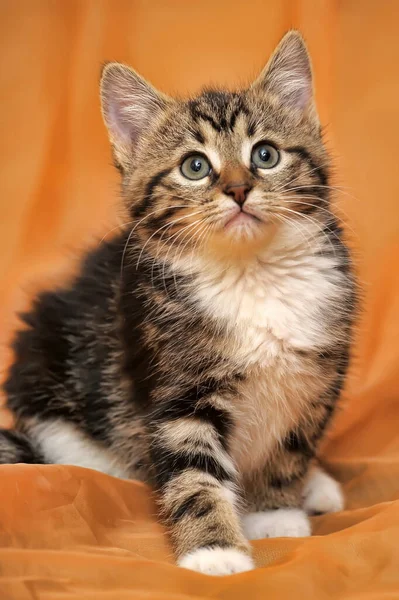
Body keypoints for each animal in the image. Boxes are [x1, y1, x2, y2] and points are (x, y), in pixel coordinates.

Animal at [0, 32, 356, 576]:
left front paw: (275, 508)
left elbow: (291, 447)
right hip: (46, 369)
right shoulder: (175, 389)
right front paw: (215, 550)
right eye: (195, 167)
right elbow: (193, 475)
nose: (238, 189)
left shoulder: (317, 377)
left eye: (266, 155)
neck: (250, 273)